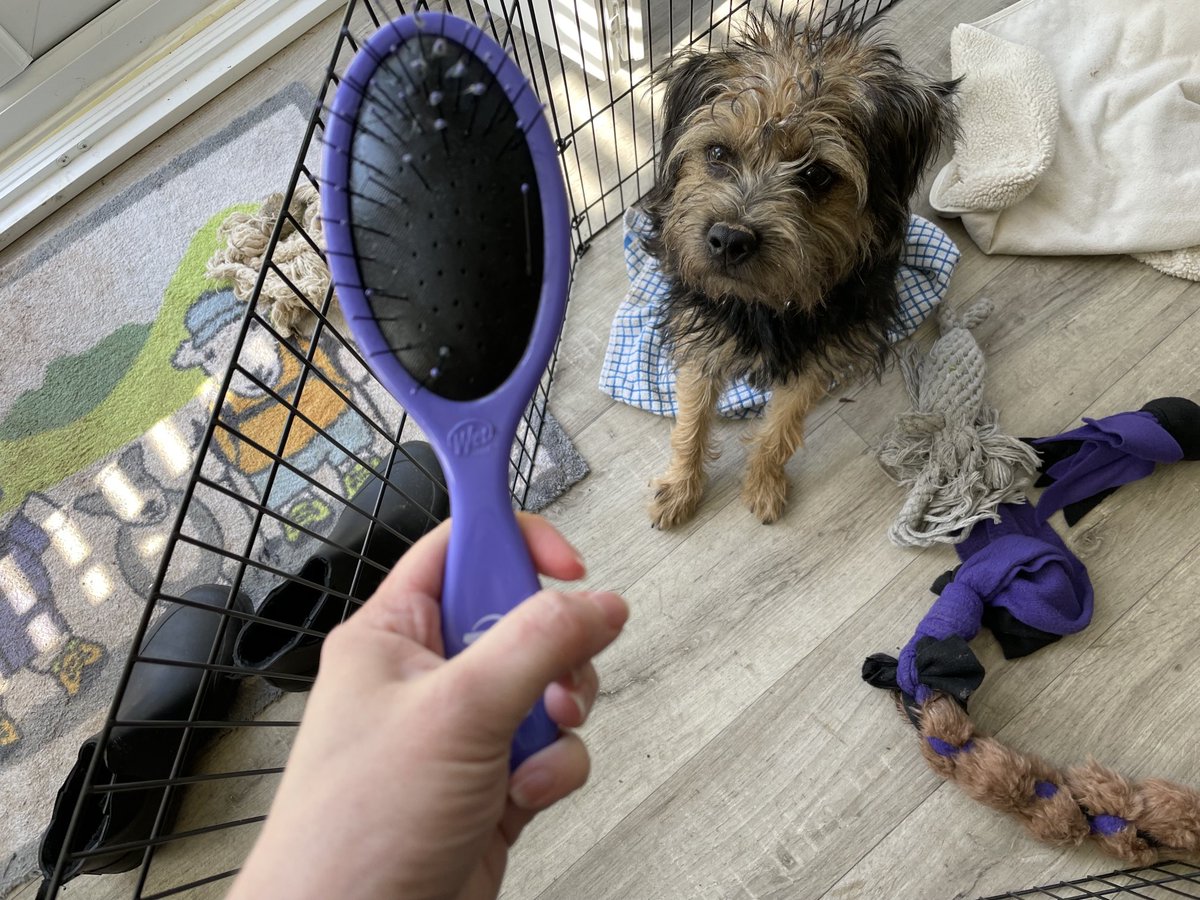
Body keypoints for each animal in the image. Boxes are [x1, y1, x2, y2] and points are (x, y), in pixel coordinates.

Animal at [638, 12, 955, 528]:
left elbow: (781, 427)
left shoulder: (819, 352)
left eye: (817, 175)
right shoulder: (702, 335)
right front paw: (680, 487)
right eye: (718, 154)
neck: (766, 306)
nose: (729, 239)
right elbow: (691, 418)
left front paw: (763, 484)